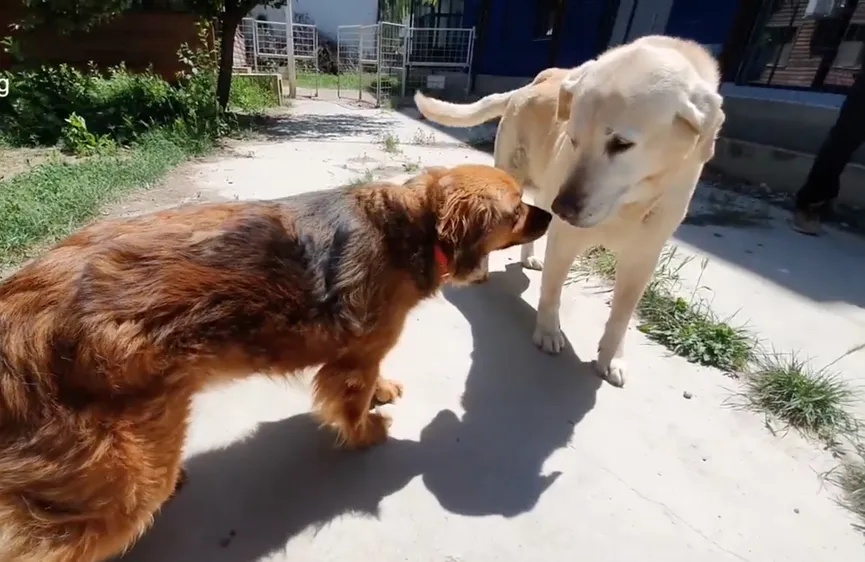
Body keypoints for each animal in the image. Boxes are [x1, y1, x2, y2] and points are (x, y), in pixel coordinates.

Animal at [0, 163, 552, 560]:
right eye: (517, 210)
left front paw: (382, 391)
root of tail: (21, 309)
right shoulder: (355, 357)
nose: (551, 214)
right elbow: (352, 404)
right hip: (127, 480)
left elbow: (371, 382)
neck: (413, 229)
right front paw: (366, 432)